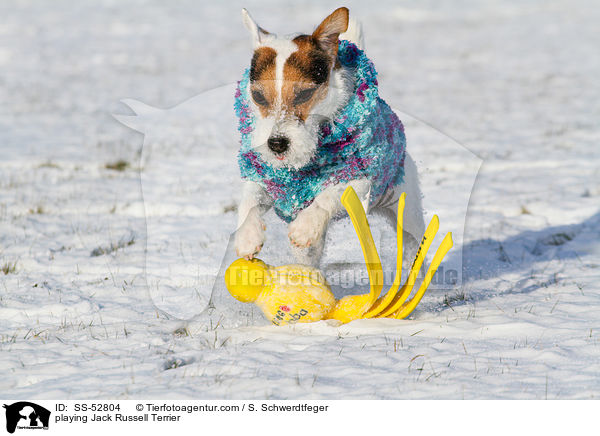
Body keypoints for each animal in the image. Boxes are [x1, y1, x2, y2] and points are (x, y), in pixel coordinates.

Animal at [232, 5, 424, 266]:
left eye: (304, 94)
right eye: (258, 96)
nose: (277, 144)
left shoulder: (357, 179)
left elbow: (326, 196)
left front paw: (305, 226)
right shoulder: (265, 178)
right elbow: (249, 201)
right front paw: (246, 236)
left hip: (407, 210)